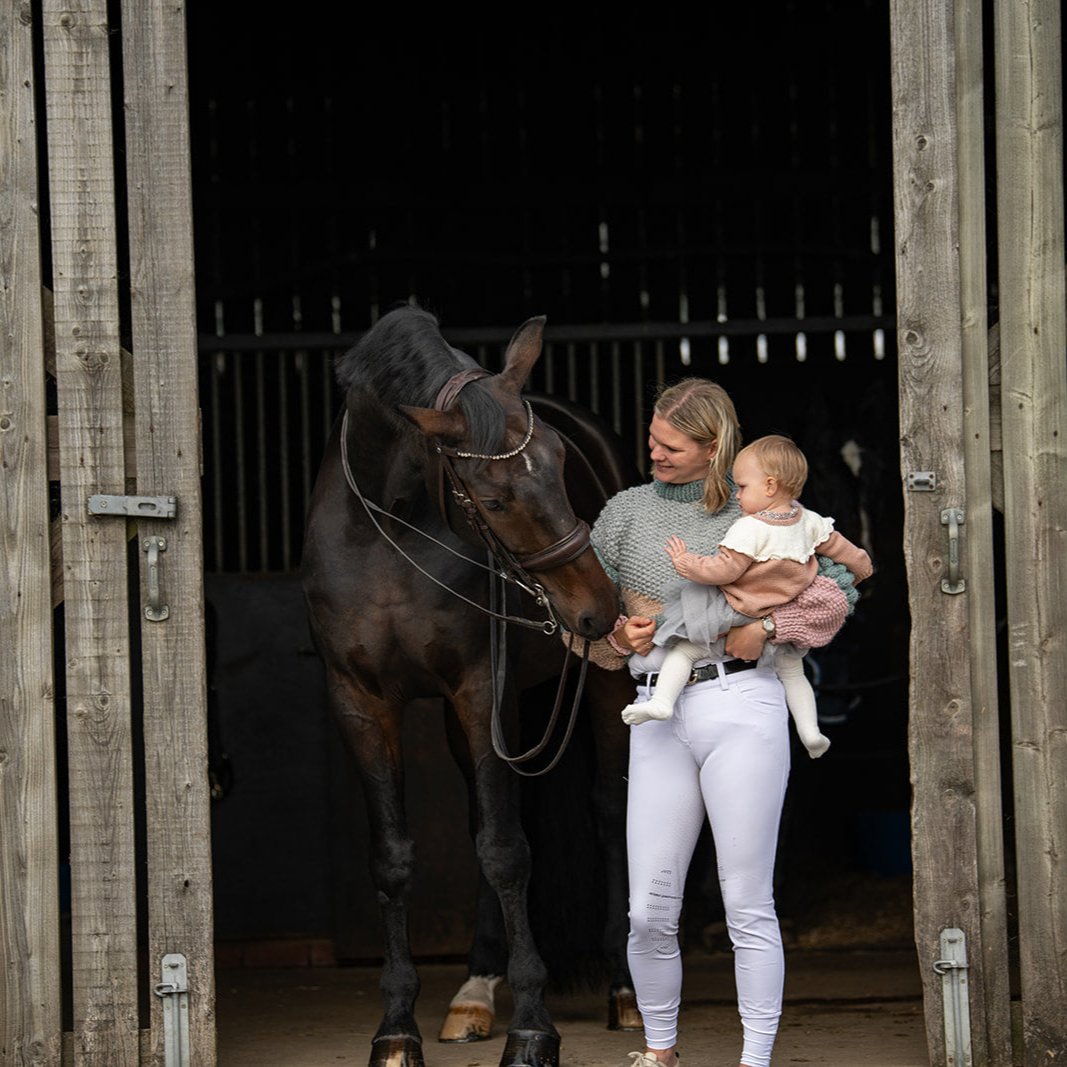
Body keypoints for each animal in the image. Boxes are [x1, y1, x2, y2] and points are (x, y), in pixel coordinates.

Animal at [296, 307, 635, 1067]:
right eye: (495, 498)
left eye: (563, 467)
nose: (600, 610)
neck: (385, 531)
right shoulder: (360, 701)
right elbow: (395, 858)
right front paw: (396, 1028)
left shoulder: (484, 691)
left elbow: (507, 851)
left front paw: (533, 1028)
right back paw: (474, 993)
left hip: (599, 692)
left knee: (607, 811)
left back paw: (625, 989)